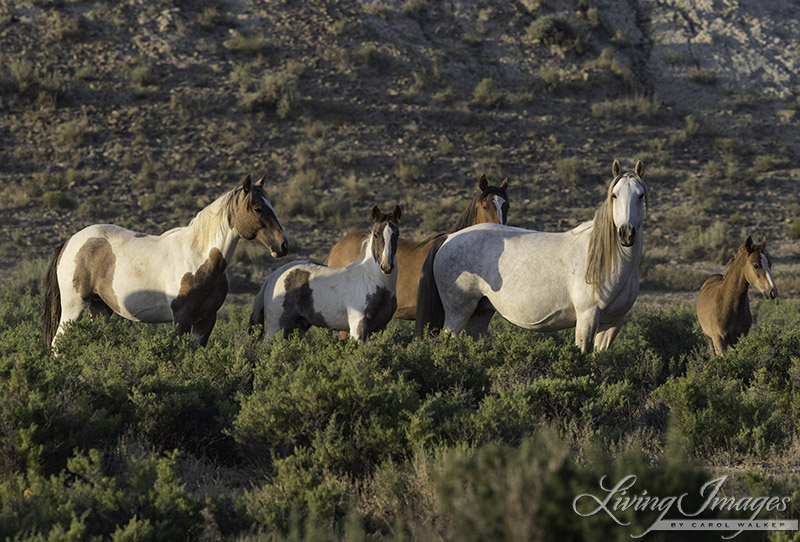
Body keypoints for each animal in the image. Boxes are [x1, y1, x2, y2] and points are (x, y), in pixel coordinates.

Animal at [42, 176, 288, 350]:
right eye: (258, 208)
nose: (283, 245)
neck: (201, 260)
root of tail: (70, 241)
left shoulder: (206, 319)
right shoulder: (182, 318)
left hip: (101, 308)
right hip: (74, 307)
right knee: (57, 344)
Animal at [248, 206, 400, 342]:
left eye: (397, 235)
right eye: (376, 234)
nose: (386, 266)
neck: (371, 280)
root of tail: (273, 277)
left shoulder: (380, 328)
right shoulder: (359, 329)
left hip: (298, 326)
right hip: (276, 328)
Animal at [416, 159, 648, 354]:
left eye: (641, 195)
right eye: (614, 195)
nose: (626, 234)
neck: (606, 261)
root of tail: (449, 237)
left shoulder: (612, 324)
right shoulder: (587, 318)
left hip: (479, 314)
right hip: (457, 313)